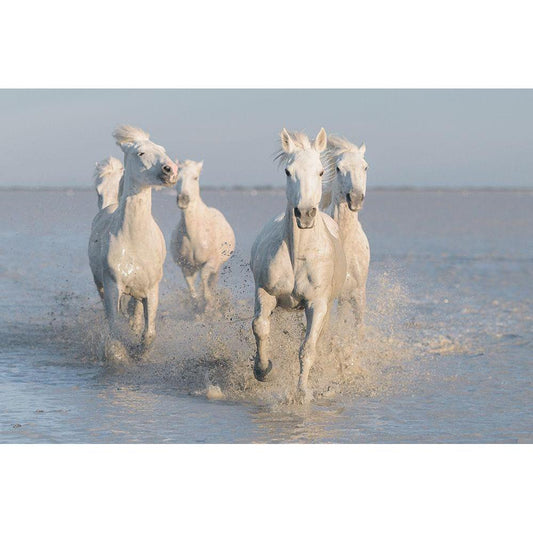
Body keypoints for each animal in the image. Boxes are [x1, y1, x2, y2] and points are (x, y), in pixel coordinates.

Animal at [88, 125, 178, 363]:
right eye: (141, 153)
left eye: (162, 149)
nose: (171, 170)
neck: (134, 241)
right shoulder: (112, 286)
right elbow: (114, 331)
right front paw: (120, 353)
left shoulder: (151, 290)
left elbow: (149, 333)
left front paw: (139, 351)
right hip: (100, 284)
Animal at [170, 160, 235, 312]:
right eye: (177, 178)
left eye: (195, 178)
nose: (183, 199)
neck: (195, 234)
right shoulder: (186, 266)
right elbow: (191, 288)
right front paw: (197, 305)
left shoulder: (211, 262)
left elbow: (205, 277)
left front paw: (209, 304)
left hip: (218, 265)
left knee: (212, 280)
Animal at [250, 128, 347, 401]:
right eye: (287, 171)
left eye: (321, 172)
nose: (305, 214)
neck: (299, 256)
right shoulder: (265, 292)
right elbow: (260, 327)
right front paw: (263, 369)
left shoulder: (317, 303)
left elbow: (307, 347)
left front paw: (302, 392)